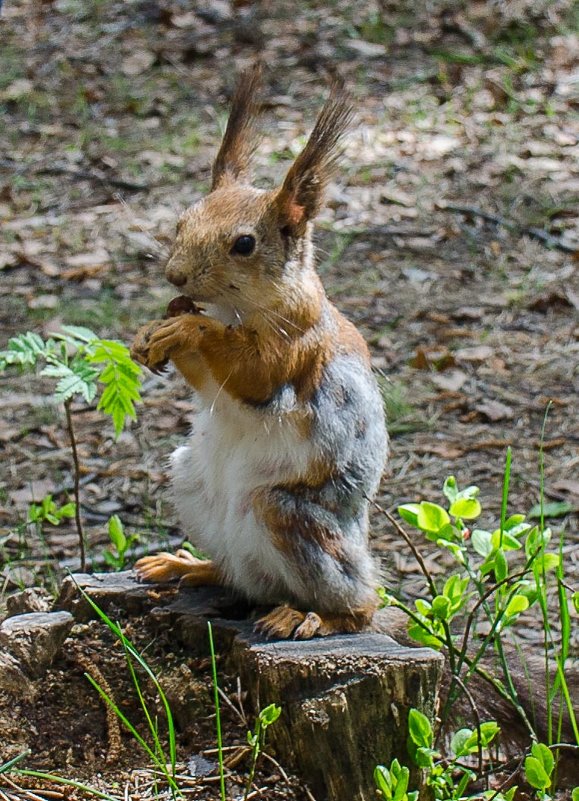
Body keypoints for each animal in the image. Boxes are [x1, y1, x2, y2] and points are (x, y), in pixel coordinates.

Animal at [129, 67, 388, 636]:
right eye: (181, 222)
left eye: (244, 244)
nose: (175, 276)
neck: (236, 310)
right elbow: (210, 382)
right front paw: (153, 329)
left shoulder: (298, 344)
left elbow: (255, 374)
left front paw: (188, 327)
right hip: (191, 482)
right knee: (242, 579)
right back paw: (188, 566)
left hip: (291, 516)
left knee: (358, 607)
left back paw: (309, 616)